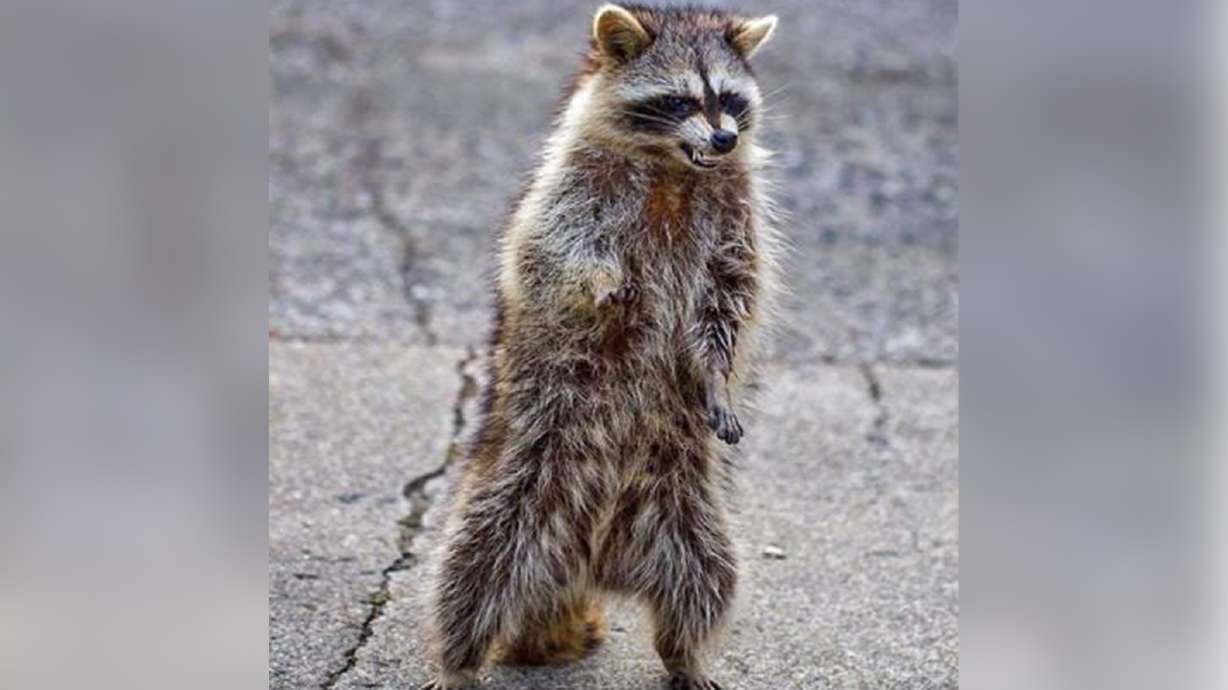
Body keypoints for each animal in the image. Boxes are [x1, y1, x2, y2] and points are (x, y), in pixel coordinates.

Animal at [425, 5, 781, 689]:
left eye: (728, 99)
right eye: (678, 100)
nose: (725, 140)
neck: (675, 167)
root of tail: (587, 565)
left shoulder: (734, 214)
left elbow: (729, 296)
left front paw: (716, 373)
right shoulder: (570, 188)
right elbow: (551, 254)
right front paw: (603, 284)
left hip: (684, 509)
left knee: (708, 578)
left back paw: (685, 654)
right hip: (518, 487)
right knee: (471, 572)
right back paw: (459, 660)